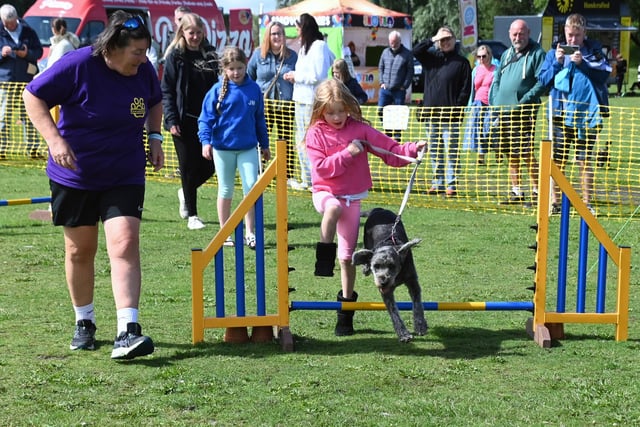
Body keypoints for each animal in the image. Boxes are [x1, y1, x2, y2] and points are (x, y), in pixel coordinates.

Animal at [352, 209, 428, 342]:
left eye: (392, 266)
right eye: (376, 266)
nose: (383, 282)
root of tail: (378, 209)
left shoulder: (412, 281)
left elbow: (417, 304)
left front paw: (420, 325)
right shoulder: (386, 292)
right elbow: (394, 312)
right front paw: (404, 334)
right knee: (367, 251)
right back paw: (365, 267)